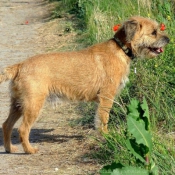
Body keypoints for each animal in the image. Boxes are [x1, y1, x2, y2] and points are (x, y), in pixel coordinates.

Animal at [0, 16, 170, 153]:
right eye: (153, 32)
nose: (168, 39)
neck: (121, 49)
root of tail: (20, 66)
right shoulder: (106, 97)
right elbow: (103, 119)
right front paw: (107, 136)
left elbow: (98, 119)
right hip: (33, 104)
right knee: (22, 129)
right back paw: (29, 150)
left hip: (17, 104)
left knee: (6, 125)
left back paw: (10, 149)